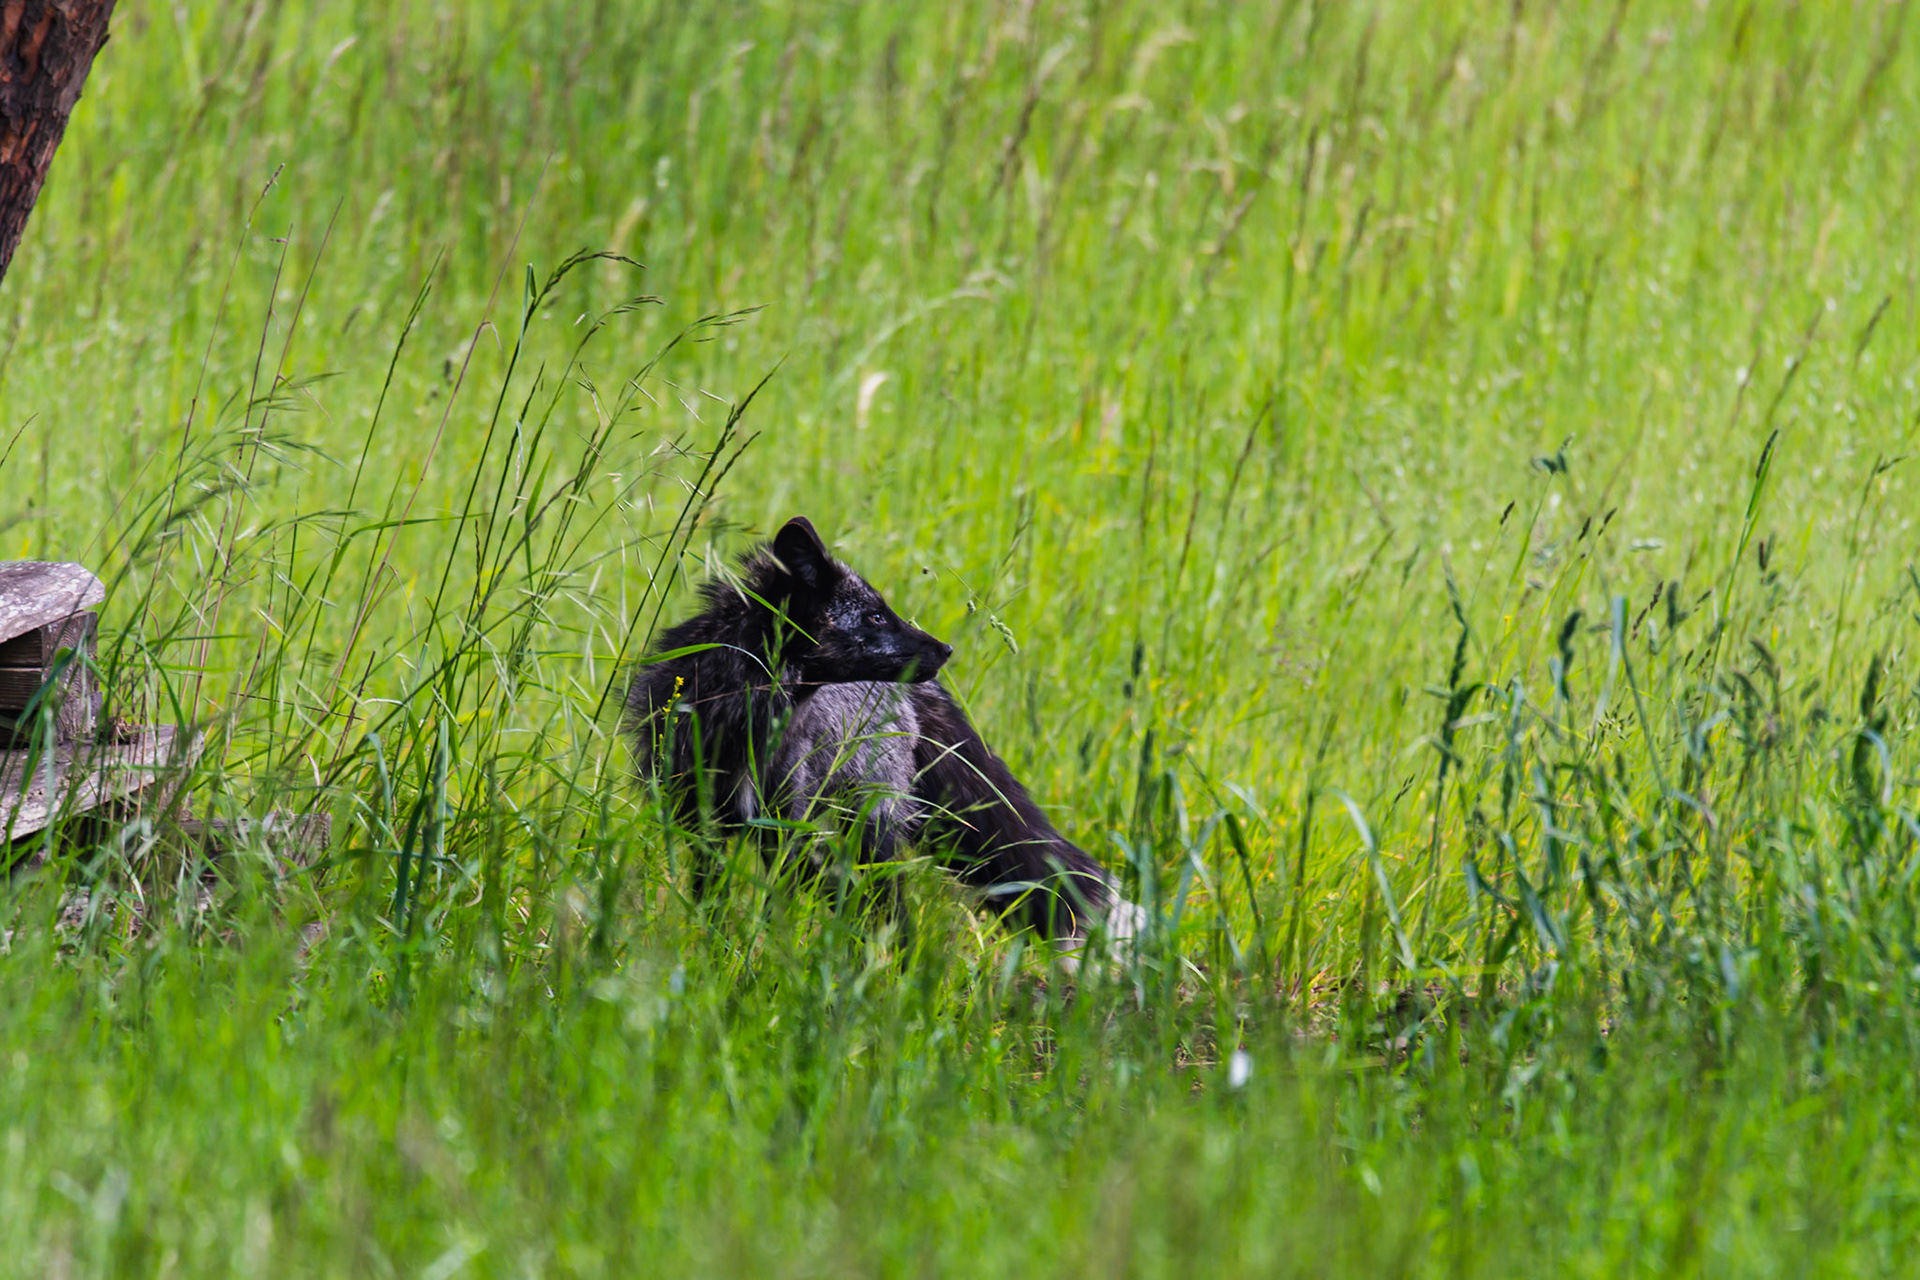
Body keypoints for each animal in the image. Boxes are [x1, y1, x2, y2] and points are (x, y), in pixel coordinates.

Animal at [625, 515, 1143, 955]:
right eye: (874, 617)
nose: (947, 649)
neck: (740, 721)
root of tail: (919, 696)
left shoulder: (786, 825)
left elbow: (777, 912)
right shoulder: (700, 824)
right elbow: (711, 907)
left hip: (870, 829)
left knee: (888, 913)